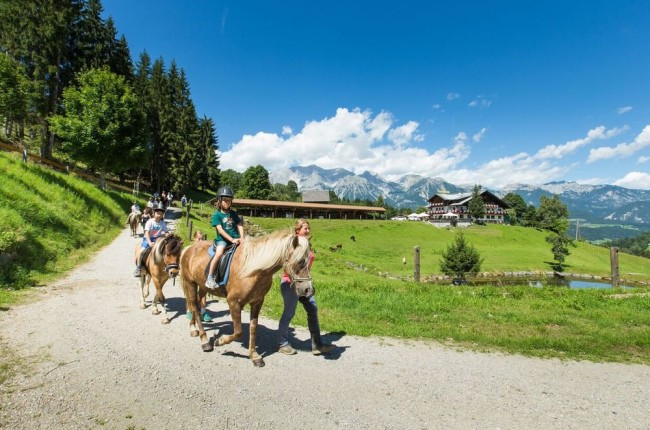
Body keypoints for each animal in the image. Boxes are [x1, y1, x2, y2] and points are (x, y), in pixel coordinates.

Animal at [178, 228, 312, 366]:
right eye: (300, 262)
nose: (308, 290)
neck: (253, 270)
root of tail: (189, 248)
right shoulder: (233, 302)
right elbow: (238, 331)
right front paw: (220, 341)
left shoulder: (257, 302)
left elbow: (253, 328)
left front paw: (254, 356)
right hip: (191, 283)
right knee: (194, 306)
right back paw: (204, 340)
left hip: (202, 287)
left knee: (196, 305)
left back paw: (193, 329)